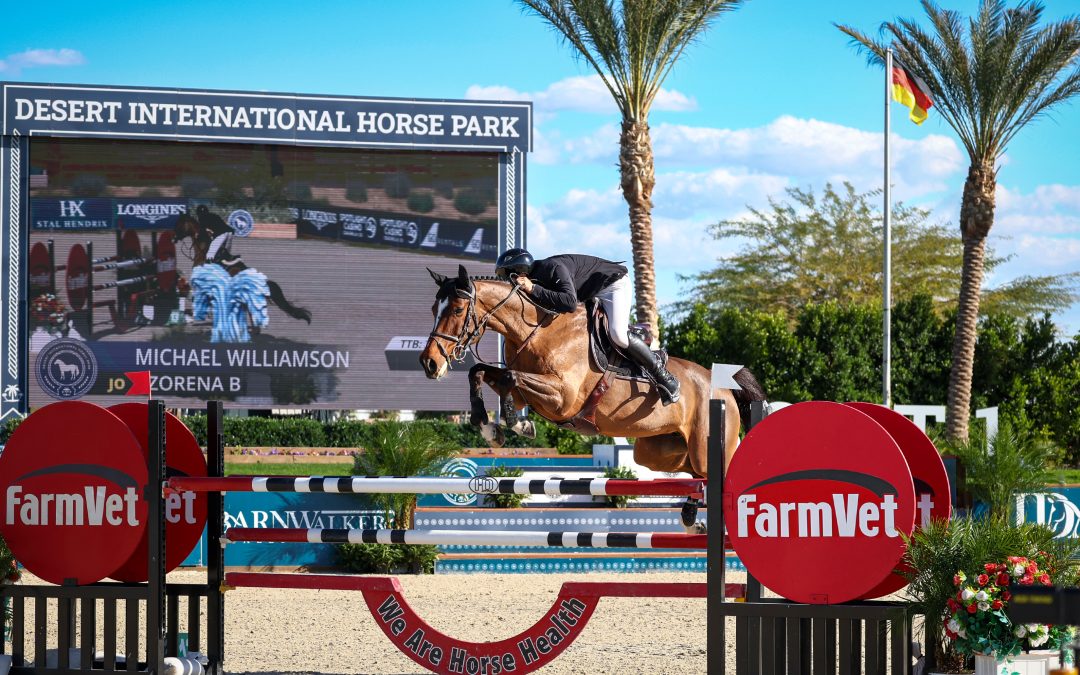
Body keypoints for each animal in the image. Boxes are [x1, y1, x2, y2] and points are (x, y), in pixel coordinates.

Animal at [420, 265, 768, 532]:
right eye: (433, 310)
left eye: (457, 309)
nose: (430, 363)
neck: (536, 329)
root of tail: (723, 387)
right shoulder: (529, 393)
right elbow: (480, 373)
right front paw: (493, 427)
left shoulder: (562, 397)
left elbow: (509, 378)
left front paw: (515, 425)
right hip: (659, 452)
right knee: (696, 474)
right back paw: (691, 516)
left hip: (707, 444)